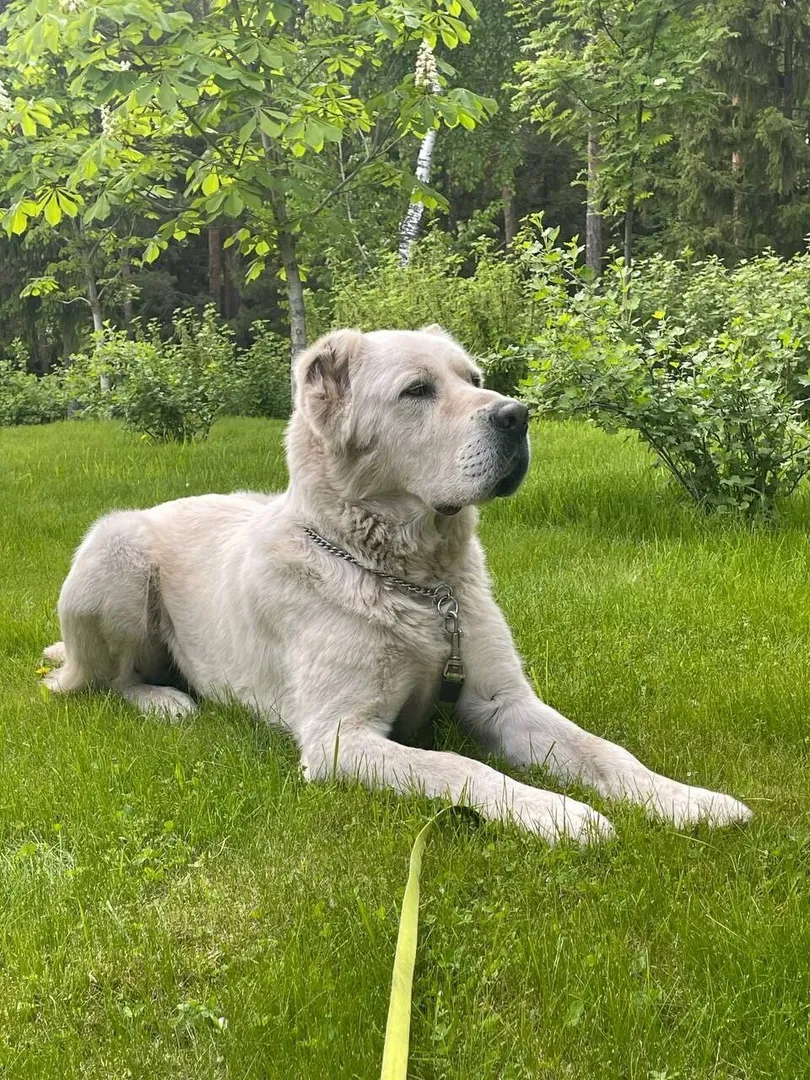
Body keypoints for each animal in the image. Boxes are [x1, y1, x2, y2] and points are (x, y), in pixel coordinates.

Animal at [42, 326, 756, 842]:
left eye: (474, 379)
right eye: (417, 390)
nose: (519, 414)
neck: (411, 581)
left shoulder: (504, 703)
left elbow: (606, 752)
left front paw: (686, 800)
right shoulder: (341, 739)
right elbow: (462, 766)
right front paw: (558, 813)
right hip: (115, 550)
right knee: (102, 680)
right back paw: (164, 701)